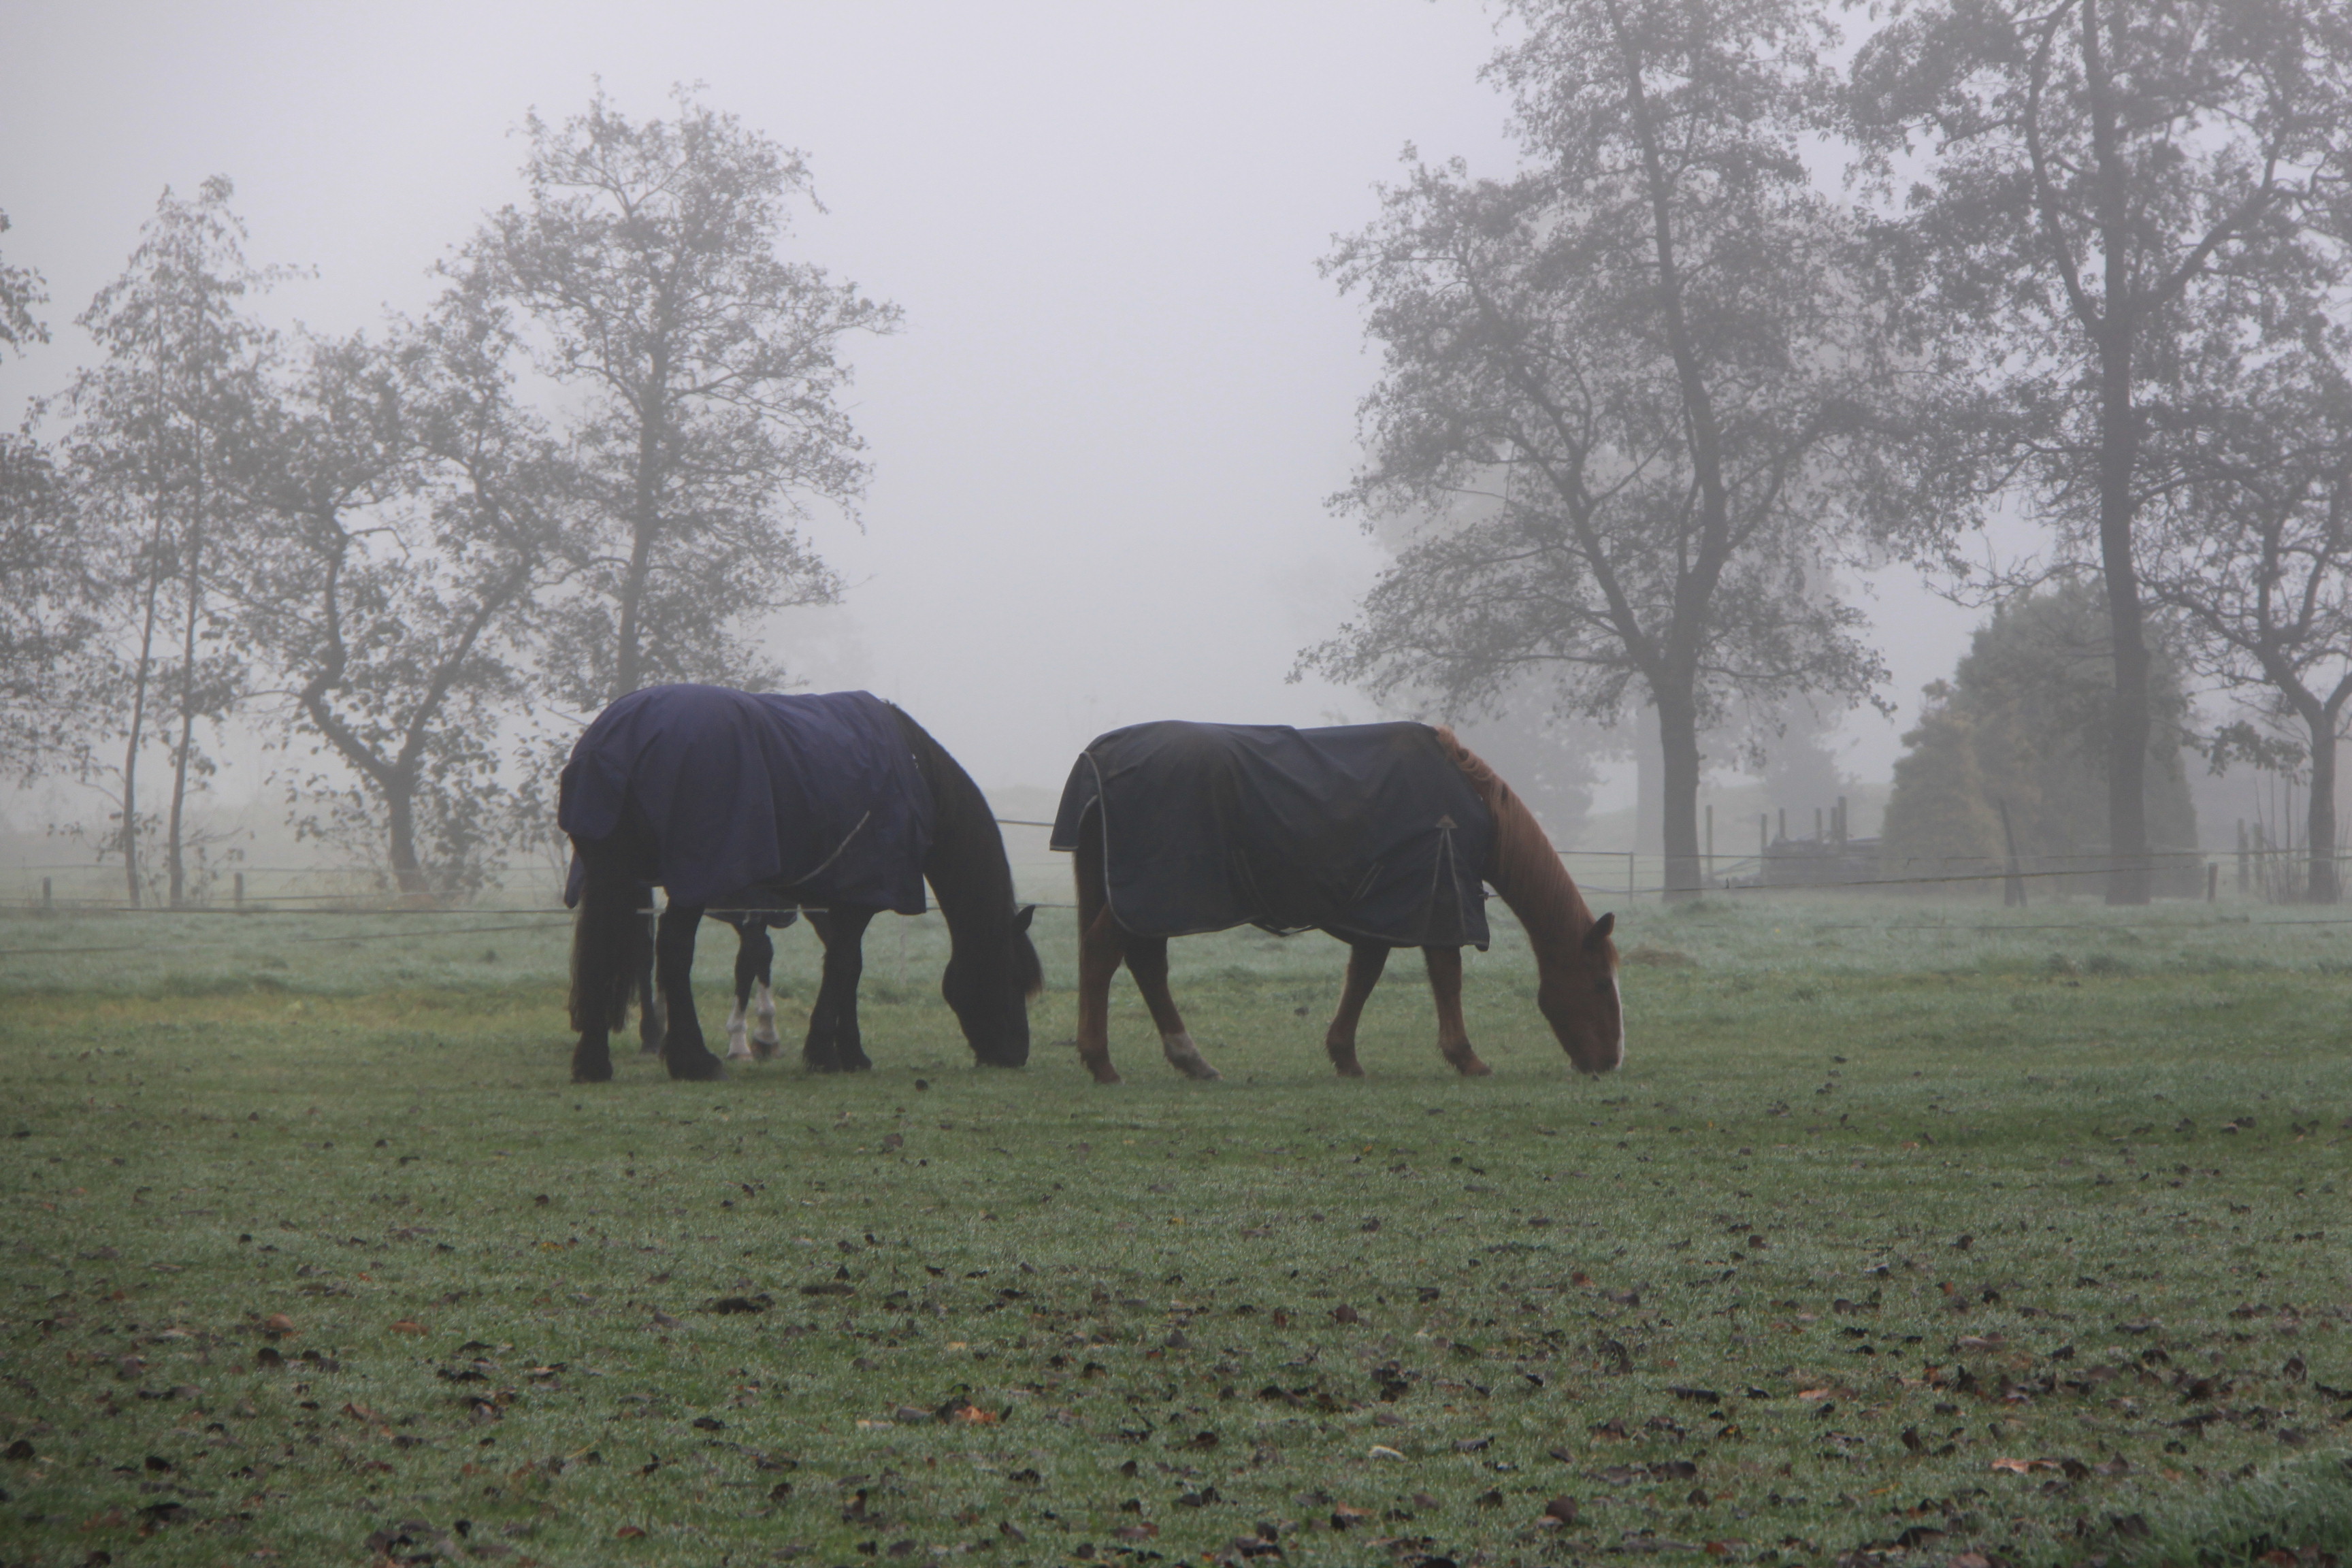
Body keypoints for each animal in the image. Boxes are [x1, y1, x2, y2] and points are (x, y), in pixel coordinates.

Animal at [561, 685, 1041, 1083]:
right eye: (1015, 978)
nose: (1016, 1054)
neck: (916, 772)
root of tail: (615, 742)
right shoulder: (857, 898)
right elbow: (844, 965)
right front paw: (826, 1054)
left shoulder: (833, 898)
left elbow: (847, 966)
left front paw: (849, 1052)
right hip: (693, 875)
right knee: (674, 950)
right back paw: (693, 1060)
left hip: (614, 874)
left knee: (605, 950)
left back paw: (594, 1062)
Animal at [1050, 719, 1621, 1083]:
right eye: (1598, 982)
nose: (1610, 1061)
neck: (1469, 806)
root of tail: (1099, 760)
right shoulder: (1440, 897)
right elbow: (1446, 976)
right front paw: (1467, 1058)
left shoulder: (1384, 910)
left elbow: (1363, 977)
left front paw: (1345, 1056)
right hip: (1148, 897)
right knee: (1102, 954)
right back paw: (1101, 1062)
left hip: (1146, 902)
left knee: (1145, 965)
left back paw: (1190, 1059)